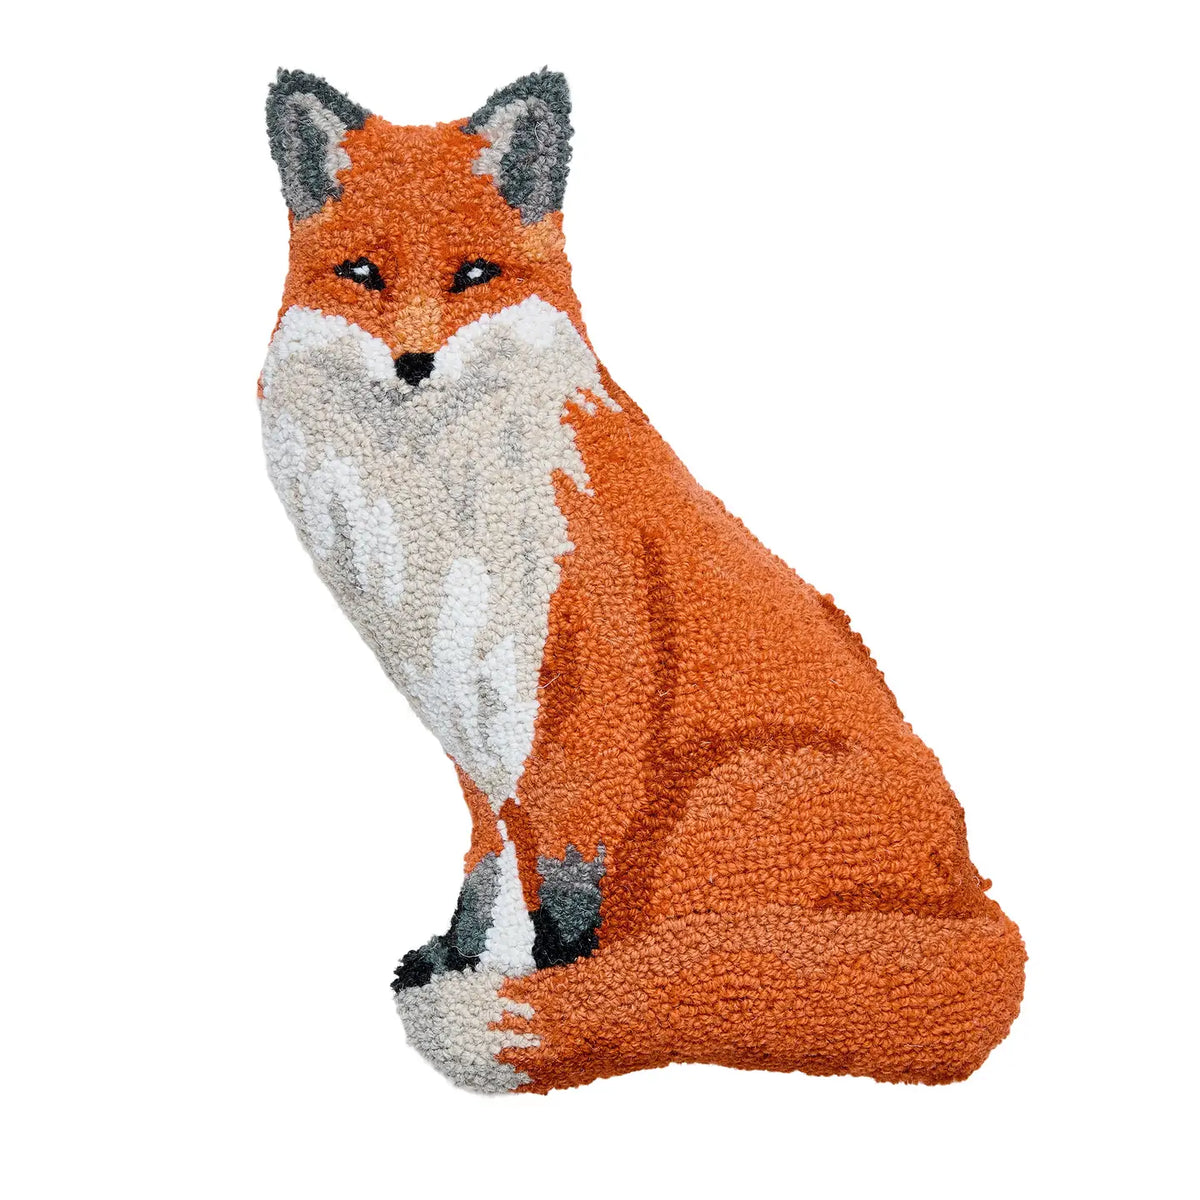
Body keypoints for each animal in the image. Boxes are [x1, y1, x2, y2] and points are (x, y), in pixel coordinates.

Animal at [259, 68, 1025, 1093]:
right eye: (361, 276)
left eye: (473, 276)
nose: (414, 363)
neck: (439, 493)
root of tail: (980, 907)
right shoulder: (470, 715)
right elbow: (488, 863)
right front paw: (461, 957)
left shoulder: (588, 685)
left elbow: (563, 884)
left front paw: (557, 990)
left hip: (712, 803)